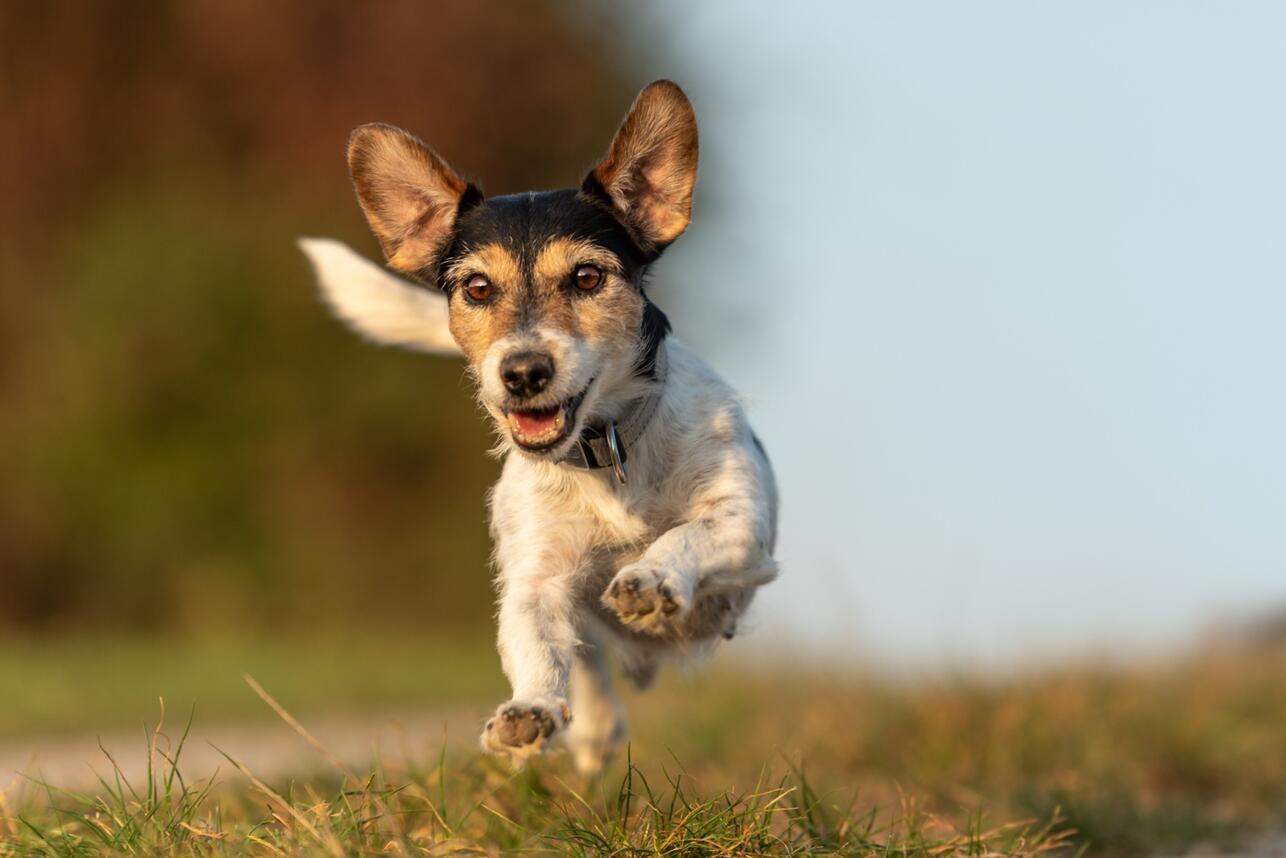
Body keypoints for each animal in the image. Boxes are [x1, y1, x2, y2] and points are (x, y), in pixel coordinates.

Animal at [302, 80, 776, 776]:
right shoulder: (536, 579)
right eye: (476, 288)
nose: (523, 371)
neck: (609, 452)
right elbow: (536, 646)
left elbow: (685, 535)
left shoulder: (743, 526)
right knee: (587, 663)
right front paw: (530, 709)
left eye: (587, 277)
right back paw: (593, 727)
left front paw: (650, 576)